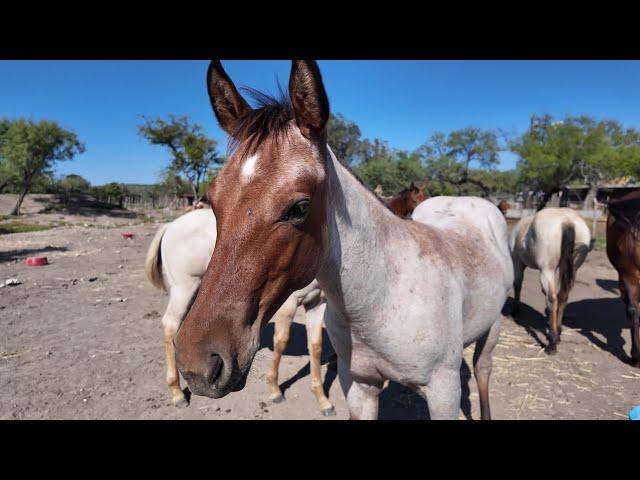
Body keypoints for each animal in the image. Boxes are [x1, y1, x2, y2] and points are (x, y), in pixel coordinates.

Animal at [144, 210, 336, 416]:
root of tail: (170, 225)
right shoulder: (289, 304)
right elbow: (281, 342)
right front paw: (275, 390)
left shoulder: (317, 303)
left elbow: (316, 347)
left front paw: (323, 400)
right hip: (185, 288)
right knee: (171, 325)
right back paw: (177, 393)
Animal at [172, 60, 512, 420]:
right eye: (214, 201)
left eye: (299, 208)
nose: (197, 362)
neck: (381, 301)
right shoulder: (360, 387)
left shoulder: (443, 393)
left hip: (492, 330)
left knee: (483, 370)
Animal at [510, 206, 596, 352]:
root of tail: (567, 221)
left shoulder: (517, 262)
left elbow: (517, 284)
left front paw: (515, 310)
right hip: (570, 268)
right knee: (562, 296)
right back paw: (558, 333)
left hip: (546, 270)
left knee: (552, 298)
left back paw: (552, 343)